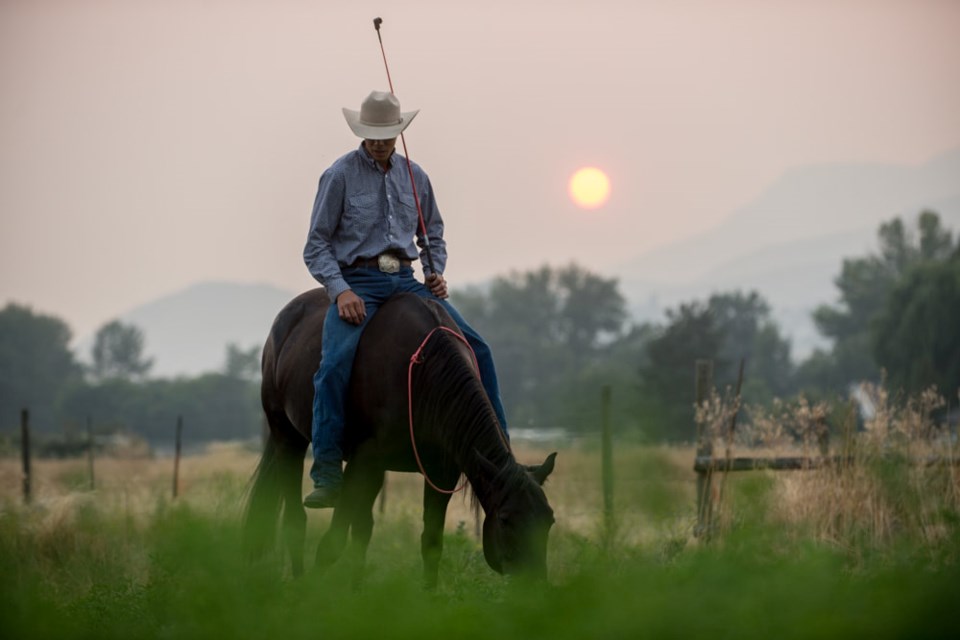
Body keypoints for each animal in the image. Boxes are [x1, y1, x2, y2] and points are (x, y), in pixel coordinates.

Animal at [242, 288, 556, 588]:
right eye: (505, 519)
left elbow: (430, 543)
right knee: (296, 520)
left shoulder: (441, 473)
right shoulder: (363, 462)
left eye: (549, 520)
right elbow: (333, 541)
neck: (422, 376)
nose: (534, 584)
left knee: (363, 528)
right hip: (288, 438)